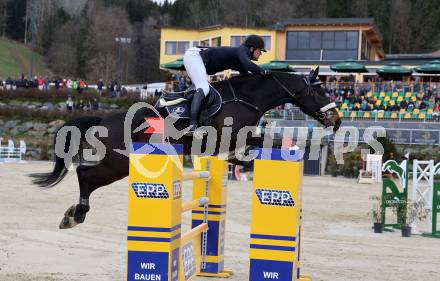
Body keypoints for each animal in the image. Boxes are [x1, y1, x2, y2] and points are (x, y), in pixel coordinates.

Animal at [31, 68, 340, 228]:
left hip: (119, 166)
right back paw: (76, 214)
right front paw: (241, 162)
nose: (336, 121)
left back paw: (74, 213)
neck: (247, 97)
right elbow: (257, 143)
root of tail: (104, 119)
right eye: (320, 90)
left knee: (87, 176)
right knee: (84, 174)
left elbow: (256, 143)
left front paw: (240, 163)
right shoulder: (226, 136)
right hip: (117, 164)